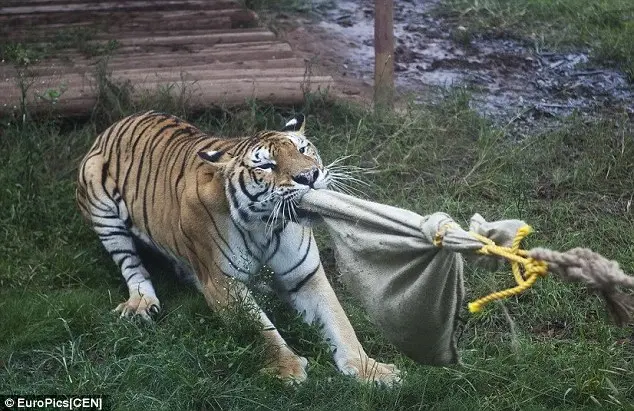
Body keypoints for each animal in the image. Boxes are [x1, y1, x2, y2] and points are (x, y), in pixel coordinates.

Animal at [75, 111, 400, 384]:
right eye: (266, 166)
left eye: (302, 150)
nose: (308, 177)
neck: (268, 226)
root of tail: (116, 123)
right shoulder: (222, 283)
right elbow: (261, 328)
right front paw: (287, 368)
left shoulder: (306, 276)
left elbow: (340, 322)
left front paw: (371, 370)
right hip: (102, 208)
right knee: (131, 265)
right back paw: (141, 302)